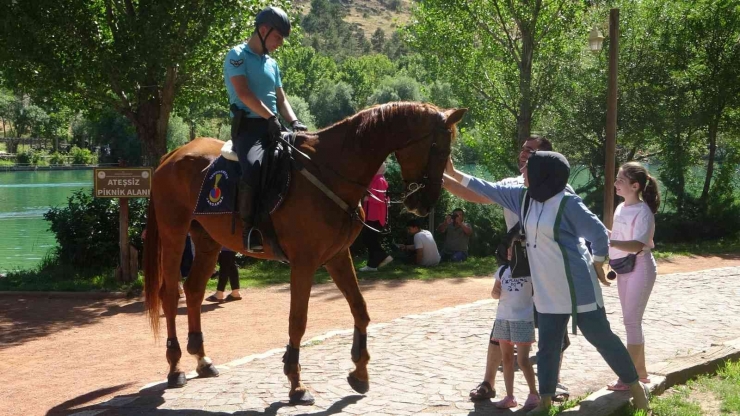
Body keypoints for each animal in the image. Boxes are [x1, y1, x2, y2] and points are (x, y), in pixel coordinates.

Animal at [144, 101, 466, 404]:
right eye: (438, 148)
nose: (426, 203)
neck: (331, 171)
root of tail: (172, 156)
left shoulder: (338, 256)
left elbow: (360, 309)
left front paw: (360, 372)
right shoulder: (304, 263)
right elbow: (298, 320)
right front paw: (296, 384)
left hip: (207, 241)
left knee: (194, 290)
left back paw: (202, 359)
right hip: (174, 236)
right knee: (170, 295)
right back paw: (175, 367)